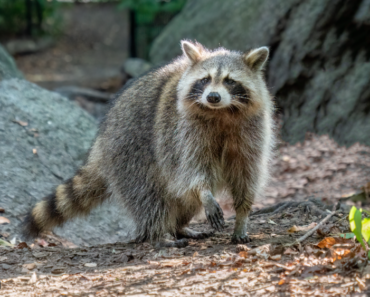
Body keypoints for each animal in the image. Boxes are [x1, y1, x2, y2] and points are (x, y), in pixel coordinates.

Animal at [23, 40, 274, 246]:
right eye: (205, 80)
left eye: (230, 81)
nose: (213, 97)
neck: (222, 112)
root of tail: (101, 143)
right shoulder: (182, 131)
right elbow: (192, 168)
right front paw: (205, 194)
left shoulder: (252, 131)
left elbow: (246, 173)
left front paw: (242, 215)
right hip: (129, 149)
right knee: (149, 195)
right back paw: (157, 233)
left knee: (183, 199)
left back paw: (179, 226)